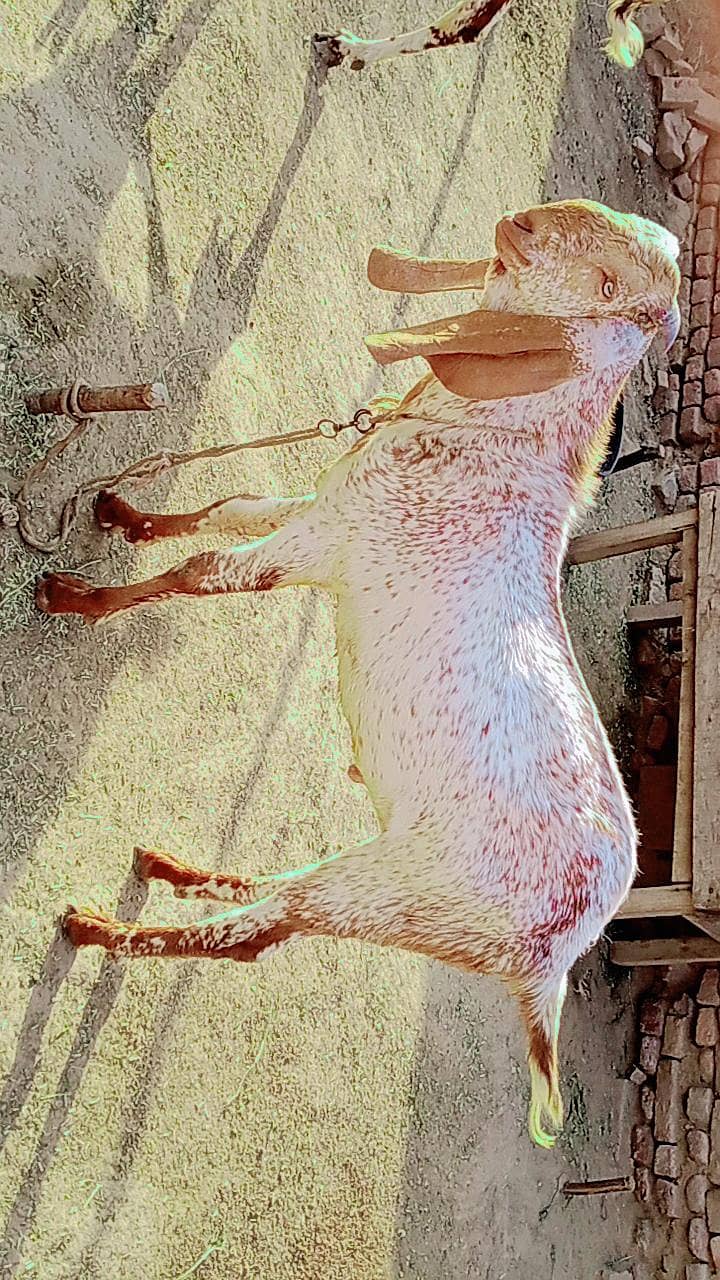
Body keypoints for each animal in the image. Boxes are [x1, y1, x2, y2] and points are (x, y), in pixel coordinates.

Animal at [37, 198, 680, 1147]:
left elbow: (205, 572)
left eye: (607, 285)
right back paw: (168, 870)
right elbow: (227, 507)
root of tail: (558, 963)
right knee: (281, 895)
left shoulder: (323, 544)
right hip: (392, 882)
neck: (487, 437)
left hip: (398, 896)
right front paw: (124, 512)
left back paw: (97, 929)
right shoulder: (323, 505)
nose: (523, 221)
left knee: (254, 936)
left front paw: (75, 597)